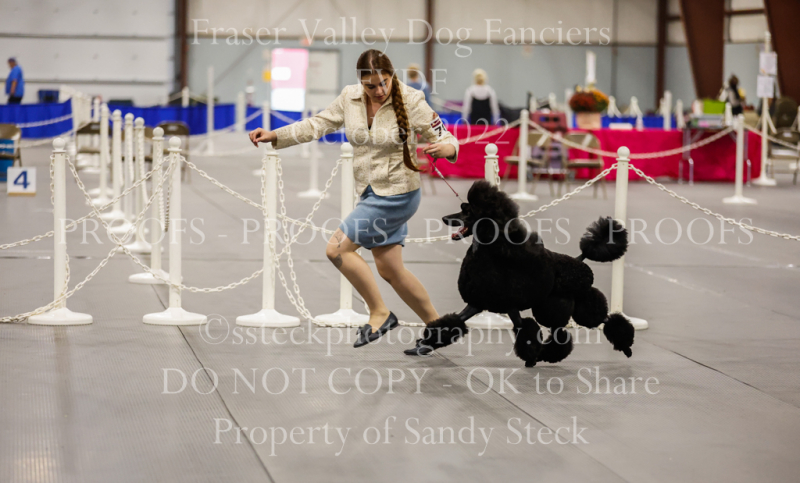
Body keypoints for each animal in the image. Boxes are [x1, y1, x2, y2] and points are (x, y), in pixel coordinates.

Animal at [408, 180, 635, 367]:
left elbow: (523, 329)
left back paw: (625, 346)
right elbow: (451, 323)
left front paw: (531, 359)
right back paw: (550, 355)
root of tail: (579, 260)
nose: (445, 218)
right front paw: (422, 346)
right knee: (559, 331)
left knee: (603, 320)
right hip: (550, 306)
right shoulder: (477, 303)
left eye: (467, 211)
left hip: (577, 301)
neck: (491, 256)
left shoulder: (510, 305)